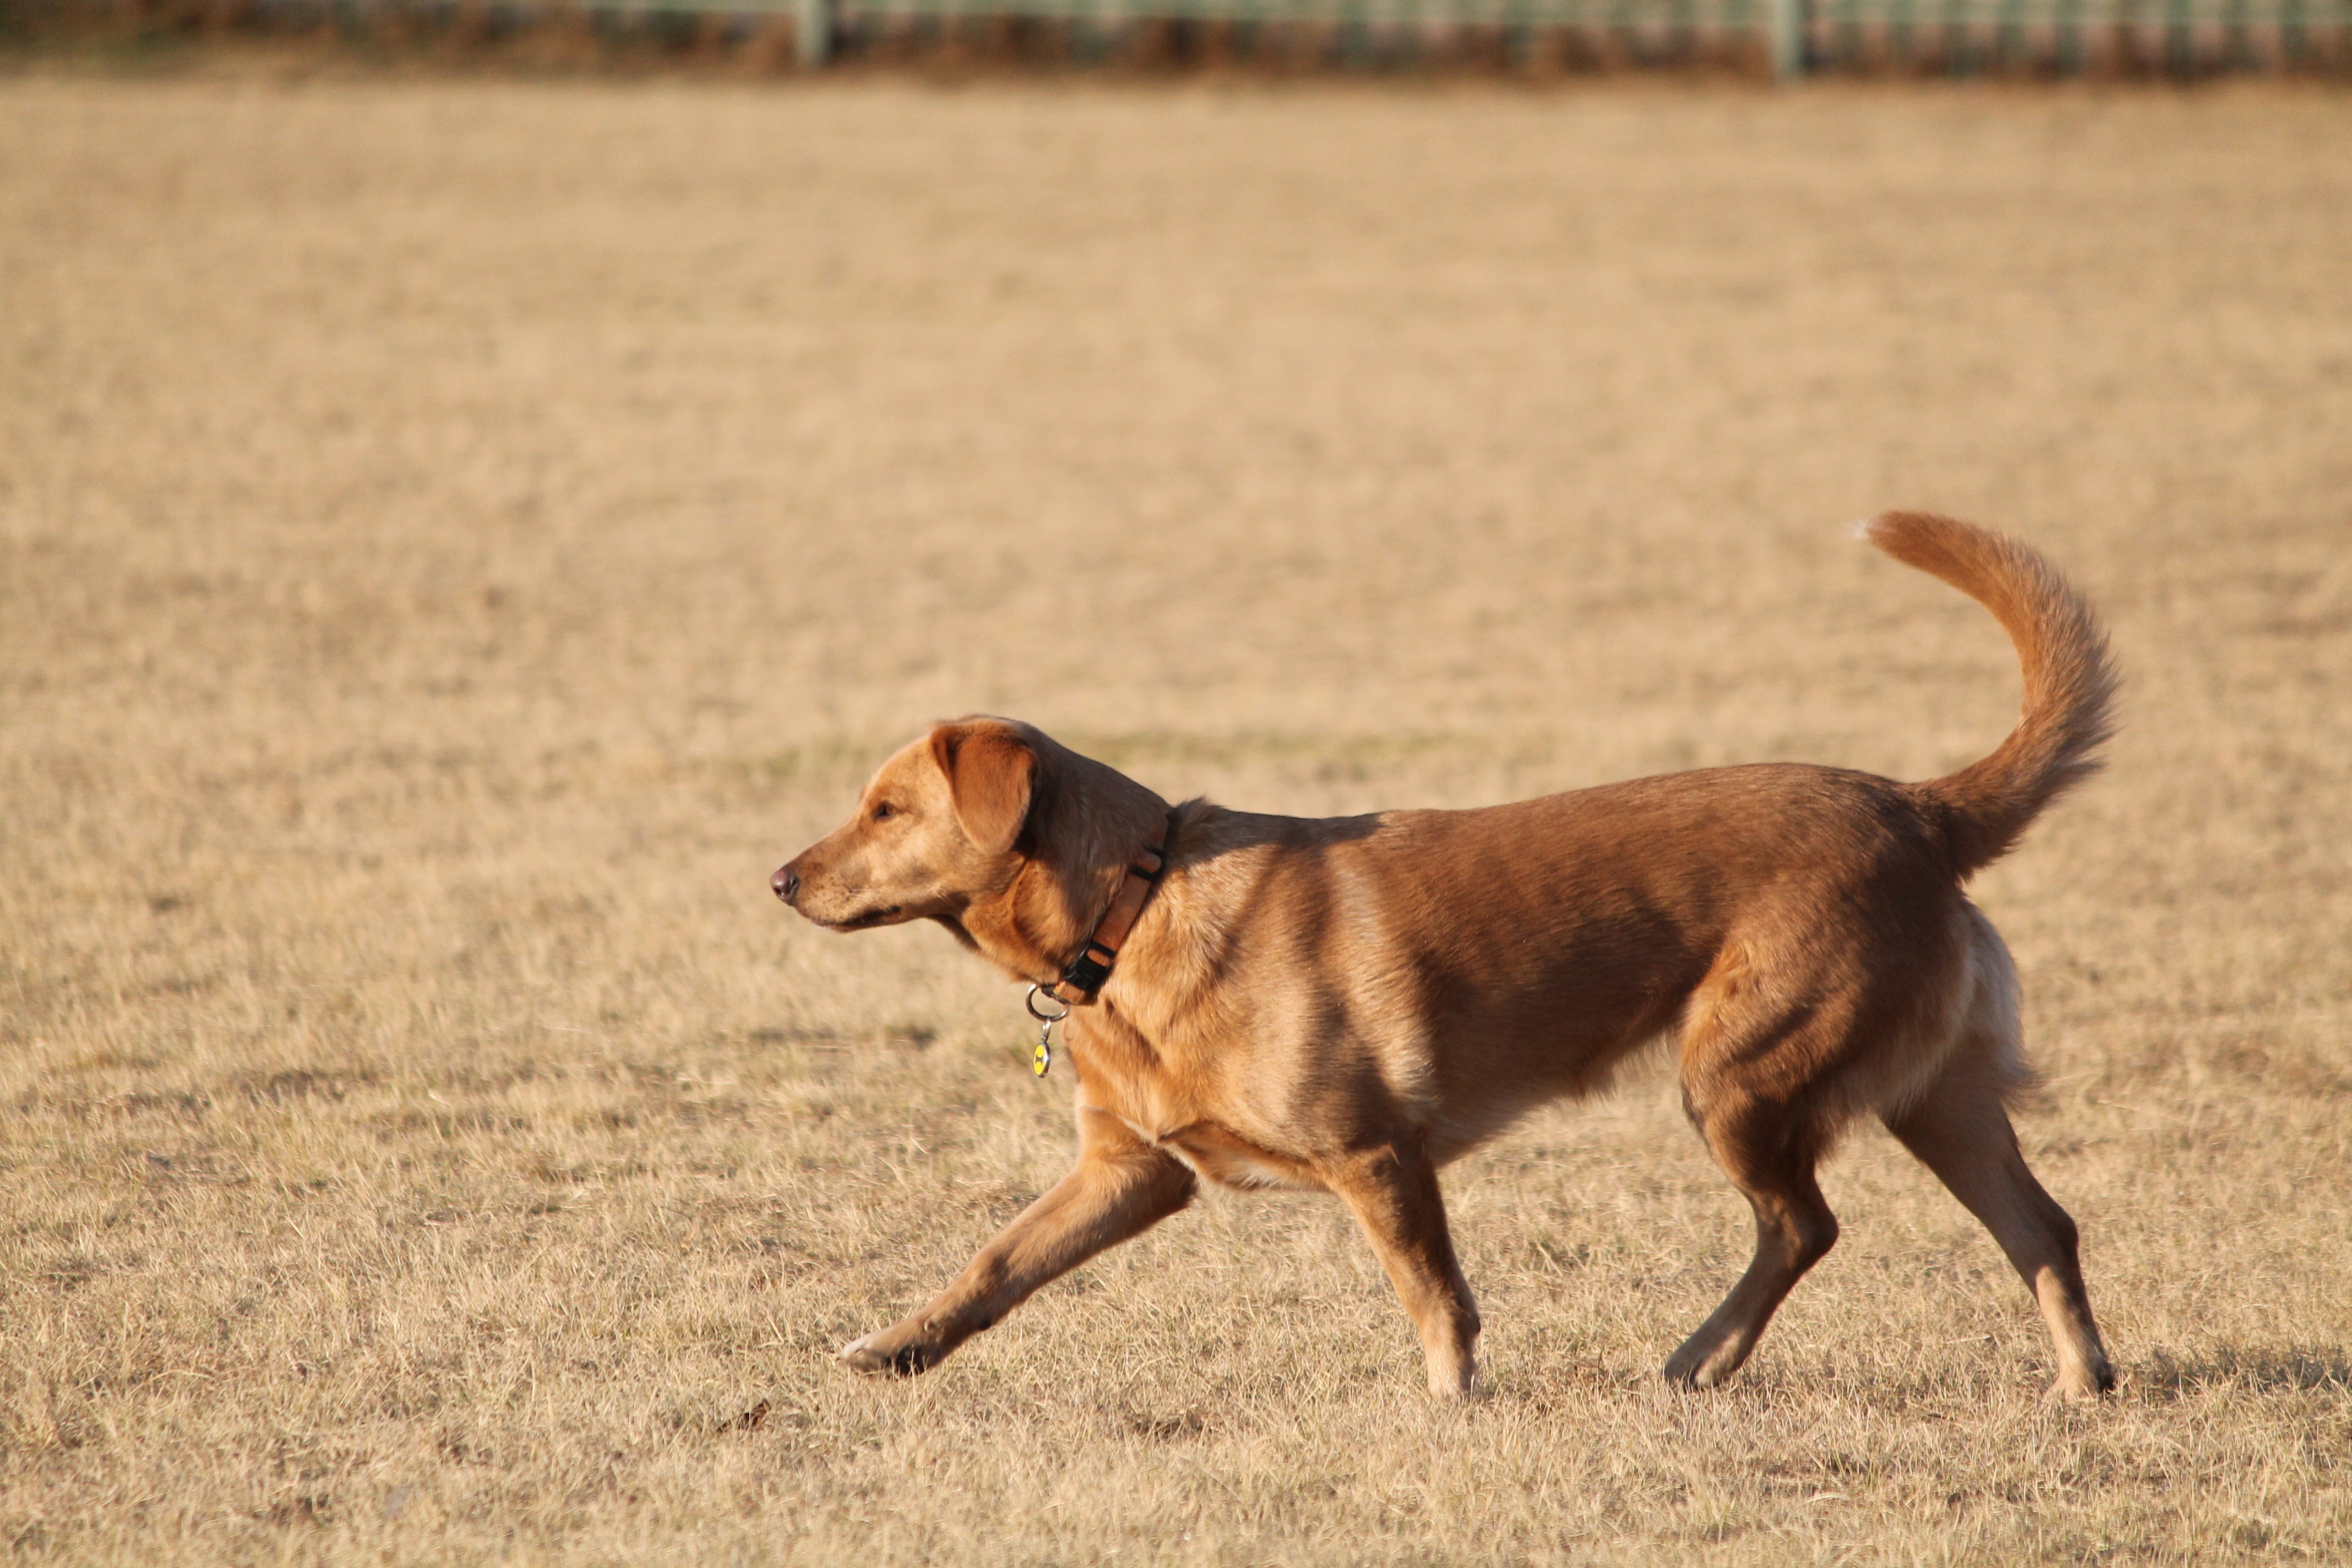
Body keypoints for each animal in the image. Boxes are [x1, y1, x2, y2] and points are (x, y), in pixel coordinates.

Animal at [771, 512, 2116, 1401]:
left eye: (885, 809)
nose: (779, 878)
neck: (1138, 905)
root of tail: (1917, 805)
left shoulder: (1378, 1154)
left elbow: (1433, 1293)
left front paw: (1449, 1405)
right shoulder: (1129, 1171)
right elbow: (995, 1260)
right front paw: (894, 1346)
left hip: (1741, 1077)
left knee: (1805, 1225)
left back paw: (1700, 1356)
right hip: (1931, 1093)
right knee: (2041, 1226)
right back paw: (2081, 1382)